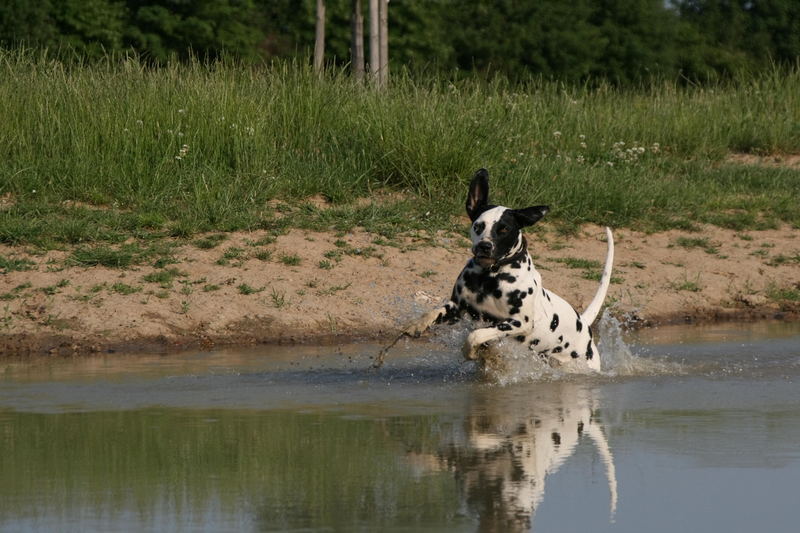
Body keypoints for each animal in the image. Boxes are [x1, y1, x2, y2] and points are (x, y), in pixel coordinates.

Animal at [410, 167, 616, 370]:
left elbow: (475, 335)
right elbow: (432, 313)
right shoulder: (458, 308)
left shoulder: (518, 323)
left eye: (504, 230)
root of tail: (584, 323)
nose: (484, 246)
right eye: (478, 226)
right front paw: (415, 325)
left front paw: (470, 351)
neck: (489, 277)